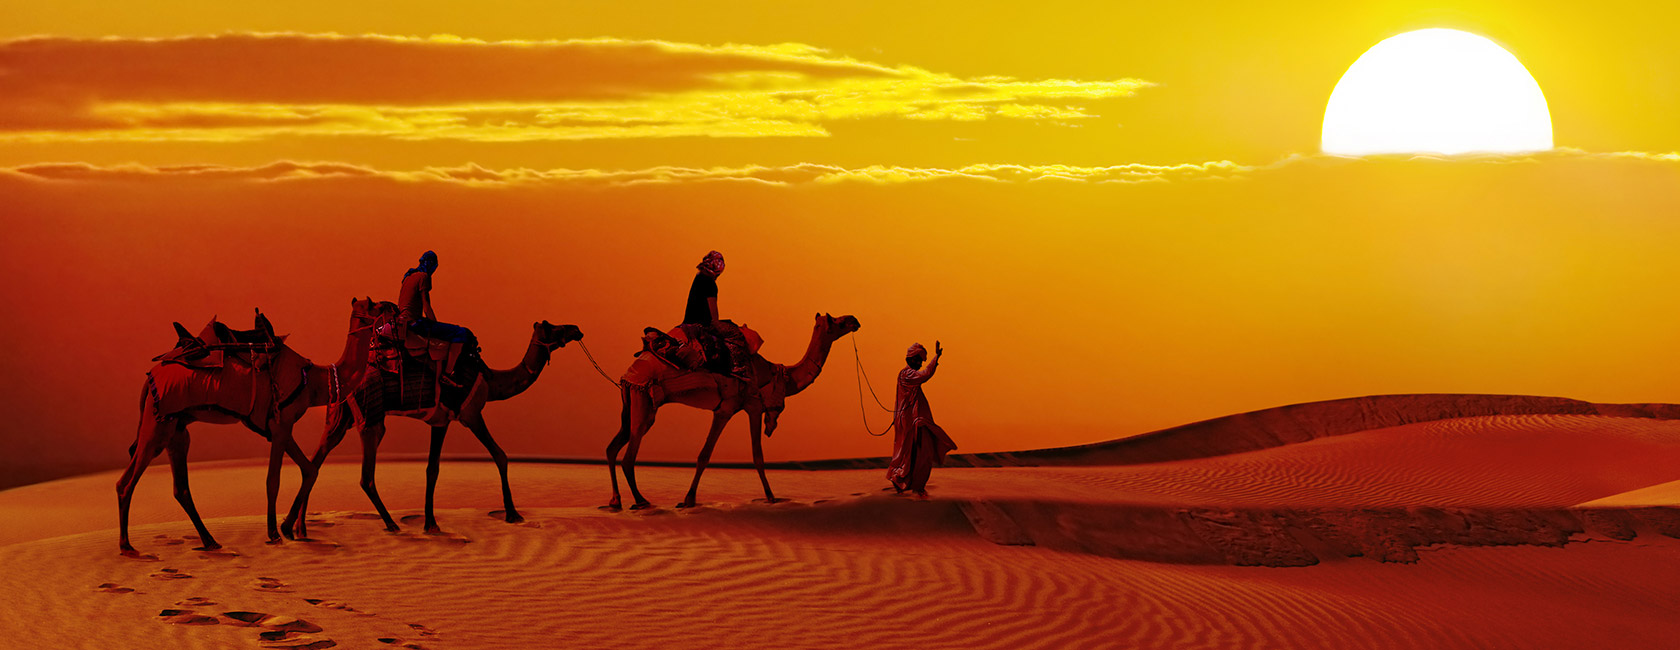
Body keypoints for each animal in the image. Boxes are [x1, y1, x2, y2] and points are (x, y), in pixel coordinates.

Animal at [118, 298, 394, 556]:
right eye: (375, 304)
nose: (392, 306)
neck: (314, 381)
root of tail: (151, 376)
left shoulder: (281, 425)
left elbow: (310, 470)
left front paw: (287, 527)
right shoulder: (281, 425)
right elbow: (273, 479)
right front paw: (275, 533)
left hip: (176, 428)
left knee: (180, 487)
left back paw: (210, 541)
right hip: (157, 425)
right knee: (126, 481)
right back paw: (127, 546)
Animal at [288, 320, 582, 537]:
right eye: (552, 326)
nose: (576, 329)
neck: (490, 381)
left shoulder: (440, 420)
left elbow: (432, 469)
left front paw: (430, 523)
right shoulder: (469, 413)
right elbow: (498, 455)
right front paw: (513, 514)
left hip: (340, 417)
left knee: (317, 460)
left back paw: (301, 529)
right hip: (370, 418)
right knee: (366, 475)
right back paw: (391, 524)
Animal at [605, 312, 861, 510]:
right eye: (836, 321)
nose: (854, 320)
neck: (777, 374)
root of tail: (627, 376)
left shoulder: (737, 408)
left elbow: (721, 455)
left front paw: (689, 499)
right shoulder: (742, 408)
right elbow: (742, 456)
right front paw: (771, 498)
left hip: (632, 406)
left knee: (612, 448)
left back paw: (615, 501)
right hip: (644, 405)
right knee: (628, 456)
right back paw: (641, 501)